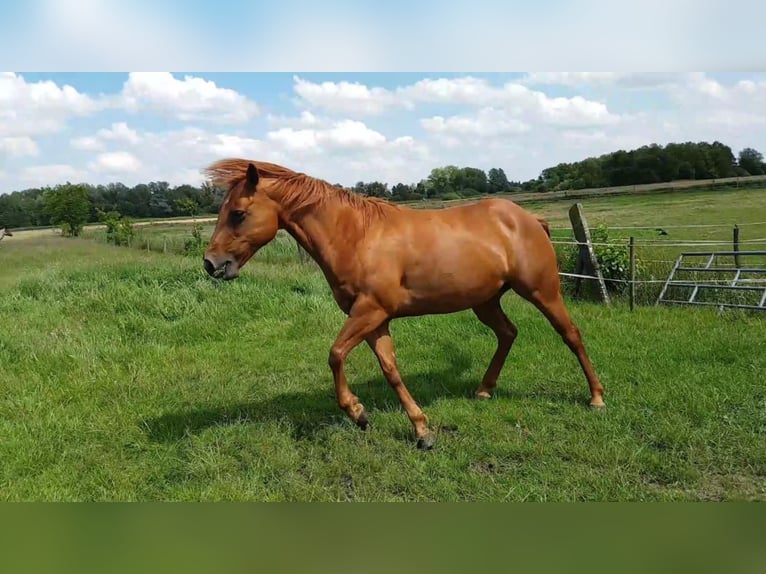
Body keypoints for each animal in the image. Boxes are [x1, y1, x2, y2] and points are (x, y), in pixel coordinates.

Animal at [204, 160, 608, 452]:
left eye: (238, 213)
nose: (211, 264)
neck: (356, 236)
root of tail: (529, 220)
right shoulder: (374, 318)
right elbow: (390, 369)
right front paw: (420, 430)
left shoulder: (369, 311)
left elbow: (335, 354)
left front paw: (357, 412)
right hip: (486, 301)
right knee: (508, 333)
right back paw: (484, 390)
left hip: (542, 292)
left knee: (571, 334)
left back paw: (596, 397)